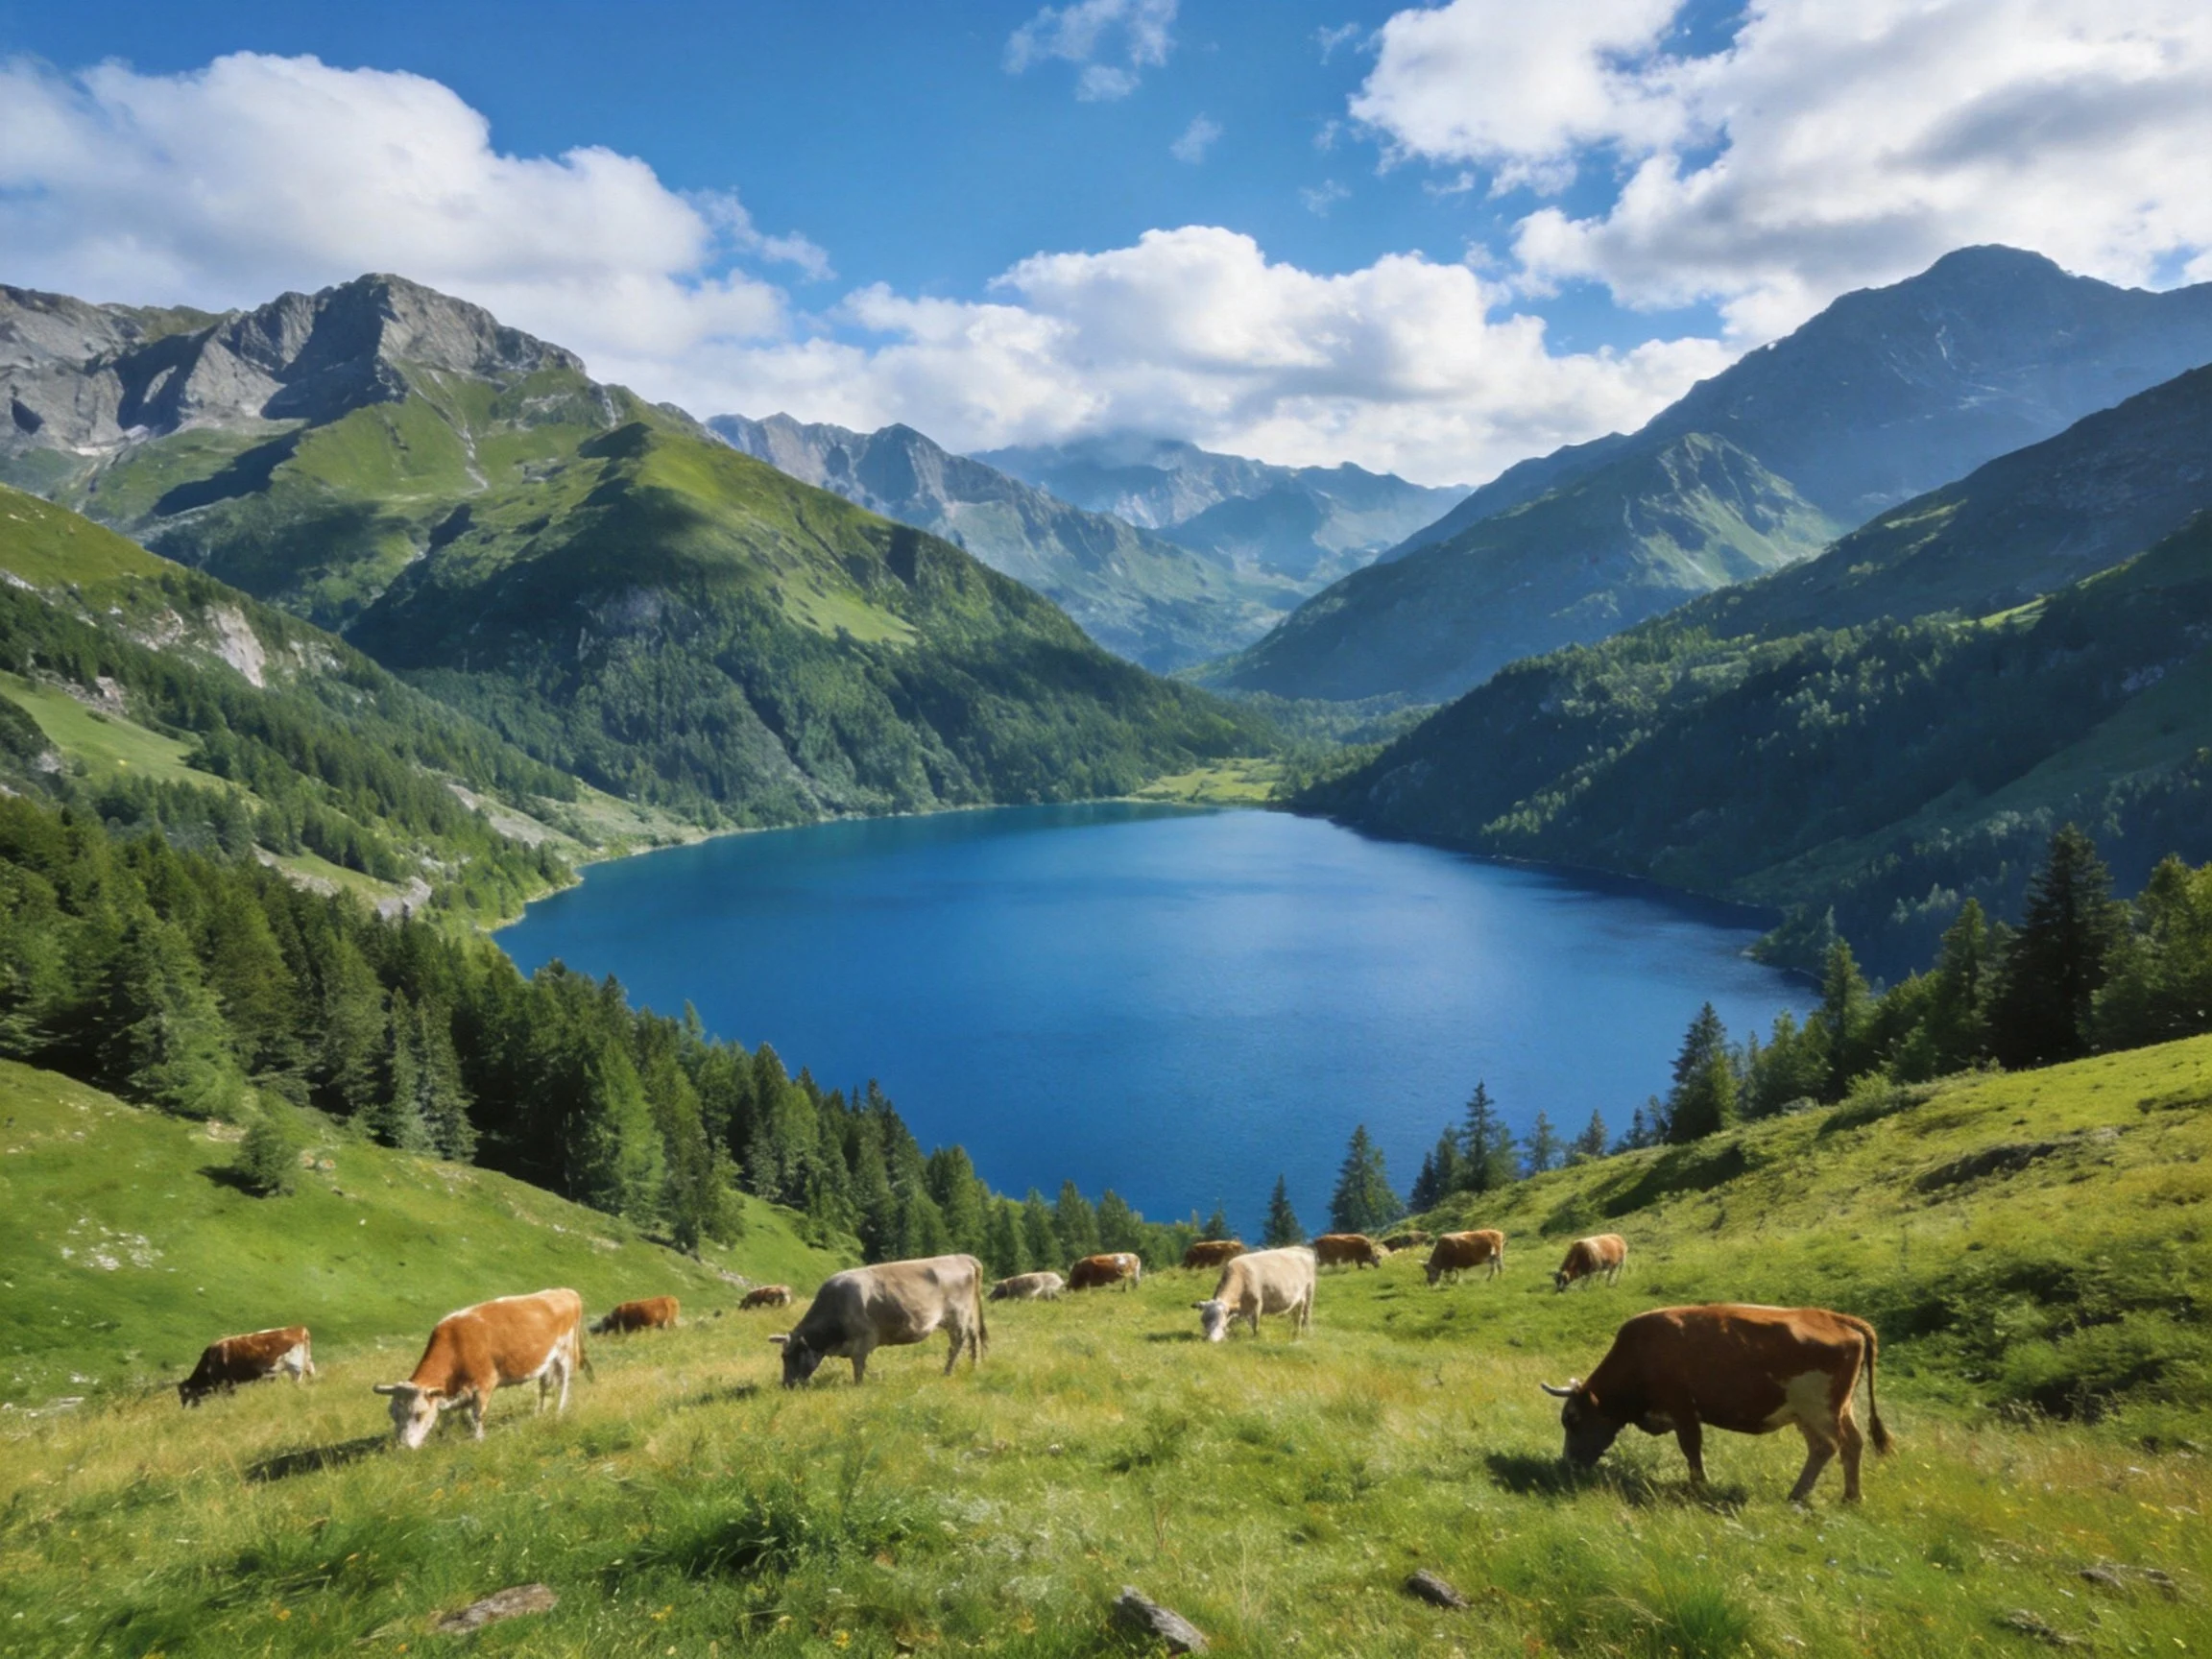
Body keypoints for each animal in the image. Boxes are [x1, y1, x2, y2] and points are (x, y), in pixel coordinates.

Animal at [177, 1325, 314, 1407]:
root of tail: (299, 1328)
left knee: (298, 1382)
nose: (184, 1408)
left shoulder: (227, 1384)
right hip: (306, 1362)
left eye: (185, 1394)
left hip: (295, 1368)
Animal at [374, 1289, 588, 1449]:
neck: (455, 1345)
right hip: (546, 1361)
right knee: (544, 1385)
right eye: (393, 1414)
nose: (402, 1447)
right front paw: (444, 1437)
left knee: (565, 1382)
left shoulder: (484, 1383)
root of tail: (566, 1292)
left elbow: (477, 1415)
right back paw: (539, 1413)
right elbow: (447, 1416)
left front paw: (478, 1440)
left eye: (419, 1414)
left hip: (565, 1353)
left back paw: (560, 1412)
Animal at [769, 1254, 987, 1387]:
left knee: (957, 1344)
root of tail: (961, 1257)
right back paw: (973, 1367)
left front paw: (858, 1385)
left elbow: (858, 1365)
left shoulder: (863, 1339)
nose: (786, 1385)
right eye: (782, 1357)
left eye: (794, 1356)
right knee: (973, 1337)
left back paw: (947, 1372)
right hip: (967, 1317)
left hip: (957, 1317)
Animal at [1193, 1246, 1317, 1343]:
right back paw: (1295, 1333)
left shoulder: (1257, 1303)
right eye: (1203, 1320)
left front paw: (1254, 1338)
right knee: (1297, 1316)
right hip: (1297, 1300)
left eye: (1221, 1322)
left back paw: (1303, 1334)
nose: (1210, 1340)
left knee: (1306, 1316)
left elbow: (1255, 1324)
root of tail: (1302, 1249)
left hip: (1309, 1293)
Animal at [1542, 1304, 1893, 1502]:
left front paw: (1699, 1484)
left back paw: (1836, 1496)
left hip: (1820, 1410)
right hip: (1823, 1412)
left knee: (1838, 1445)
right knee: (1837, 1446)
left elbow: (1691, 1447)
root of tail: (1838, 1319)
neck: (1640, 1354)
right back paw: (1821, 1495)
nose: (1567, 1464)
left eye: (1572, 1418)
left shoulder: (1683, 1409)